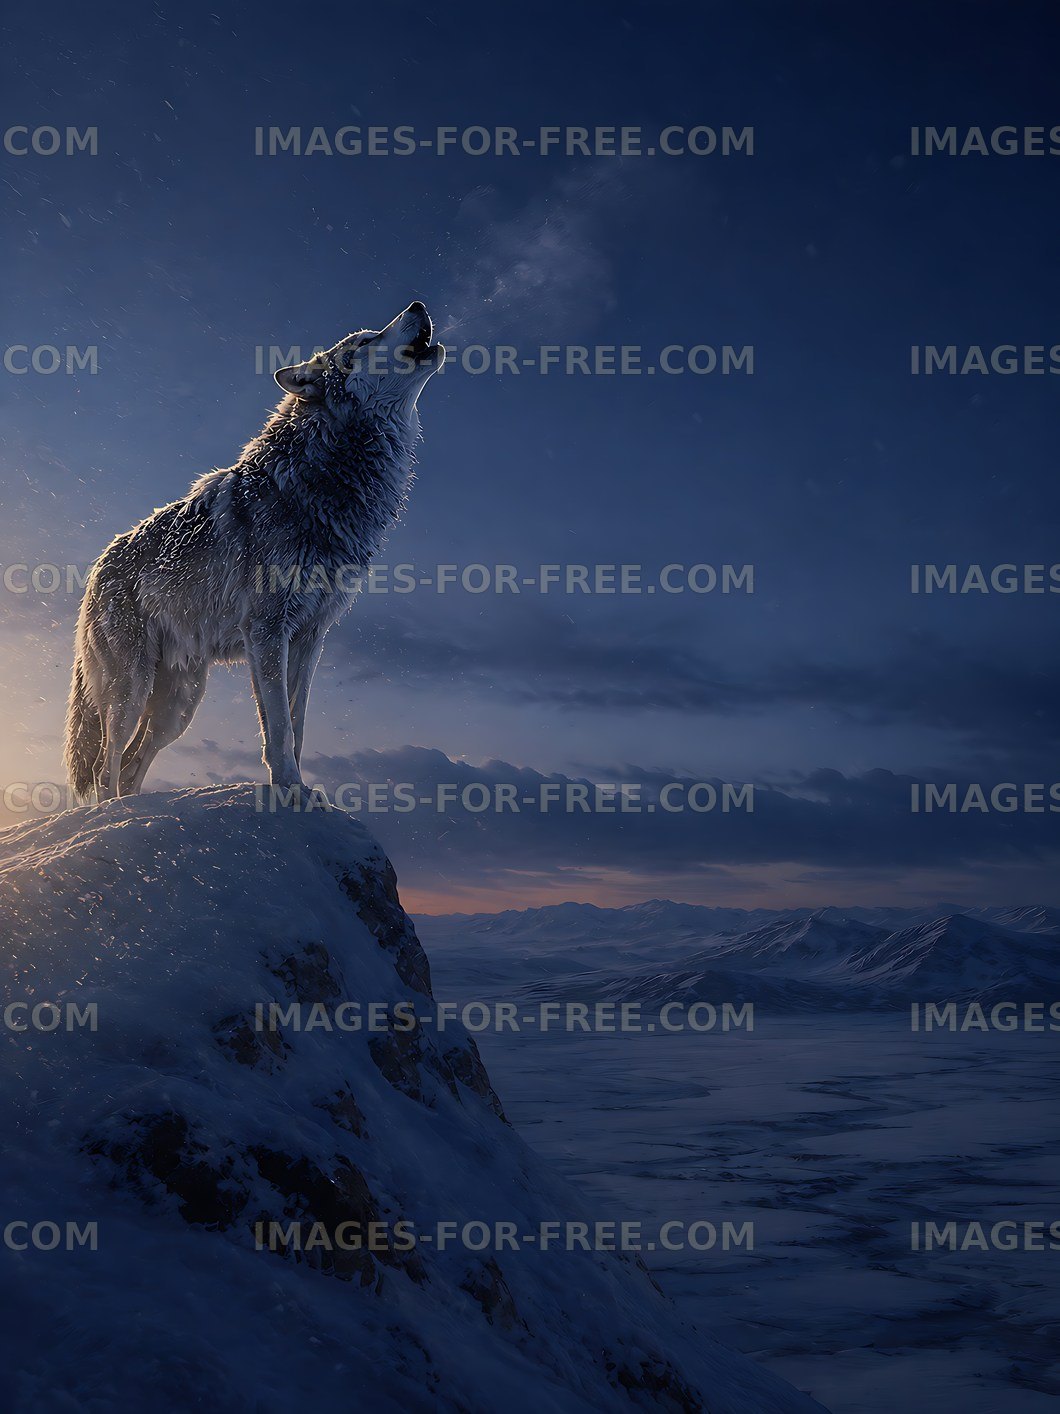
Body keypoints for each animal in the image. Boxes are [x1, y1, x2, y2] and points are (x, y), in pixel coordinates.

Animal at [64, 302, 444, 801]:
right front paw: (289, 789)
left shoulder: (310, 637)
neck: (318, 482)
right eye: (365, 341)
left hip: (179, 707)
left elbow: (297, 726)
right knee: (104, 763)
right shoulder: (267, 630)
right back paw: (109, 812)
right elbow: (278, 726)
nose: (418, 305)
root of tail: (97, 568)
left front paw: (300, 794)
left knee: (130, 766)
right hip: (132, 690)